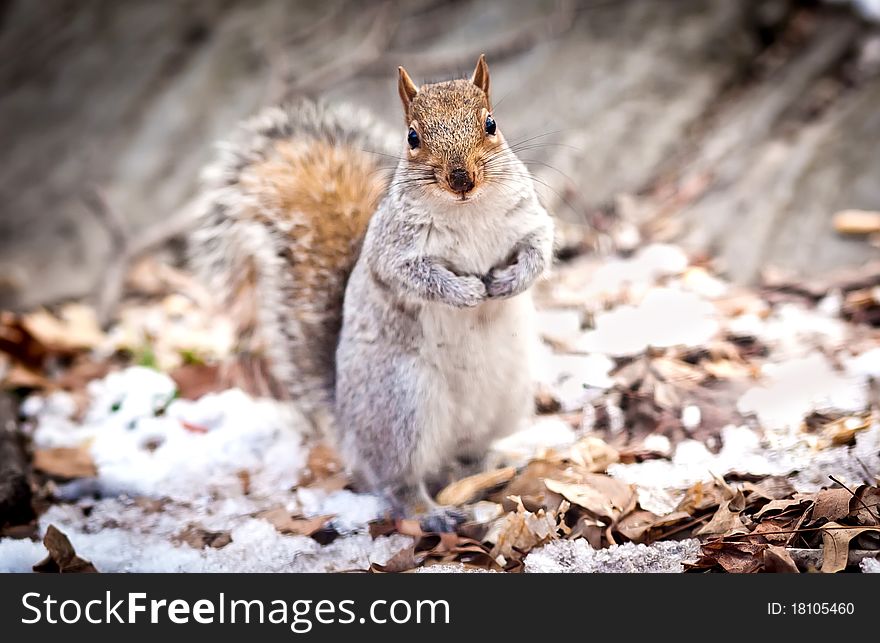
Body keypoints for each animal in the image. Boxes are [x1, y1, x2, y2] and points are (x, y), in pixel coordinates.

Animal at [190, 55, 552, 528]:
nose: (461, 179)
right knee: (398, 483)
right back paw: (432, 513)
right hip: (401, 406)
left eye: (491, 123)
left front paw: (509, 281)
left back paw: (491, 469)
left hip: (504, 401)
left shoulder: (530, 222)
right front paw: (465, 292)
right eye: (412, 137)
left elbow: (539, 251)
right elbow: (413, 277)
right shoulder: (392, 252)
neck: (467, 209)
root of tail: (347, 434)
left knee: (467, 456)